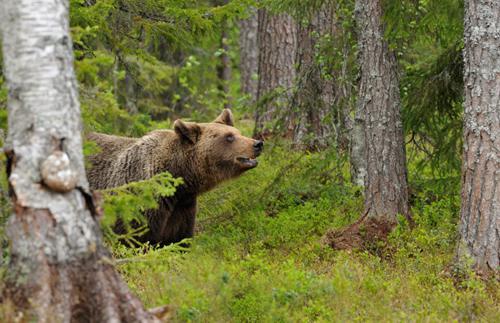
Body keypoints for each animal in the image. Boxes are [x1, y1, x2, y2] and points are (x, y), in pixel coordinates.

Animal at [85, 110, 262, 247]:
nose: (258, 143)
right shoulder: (141, 206)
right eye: (229, 137)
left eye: (239, 132)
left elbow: (178, 240)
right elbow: (134, 241)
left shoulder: (182, 208)